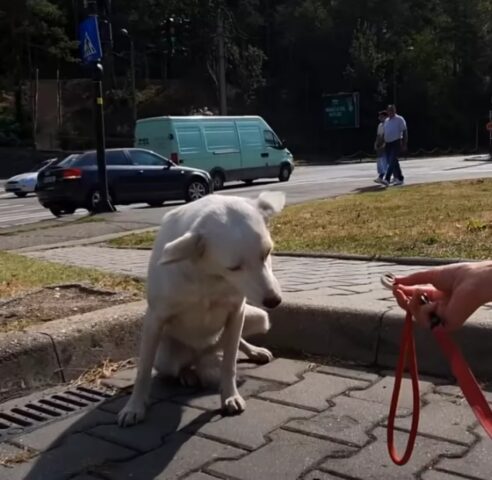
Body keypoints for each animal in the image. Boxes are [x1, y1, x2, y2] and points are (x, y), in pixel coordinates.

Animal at [119, 189, 286, 426]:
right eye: (234, 267)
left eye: (267, 253)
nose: (274, 301)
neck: (209, 275)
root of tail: (202, 356)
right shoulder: (155, 319)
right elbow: (143, 370)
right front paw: (134, 406)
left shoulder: (237, 312)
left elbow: (230, 363)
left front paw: (230, 396)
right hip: (167, 357)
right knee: (177, 367)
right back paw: (187, 374)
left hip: (259, 319)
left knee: (232, 345)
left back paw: (252, 351)